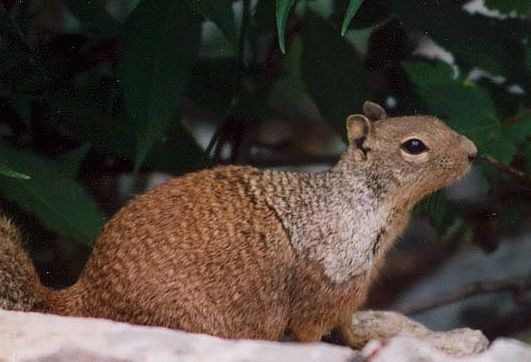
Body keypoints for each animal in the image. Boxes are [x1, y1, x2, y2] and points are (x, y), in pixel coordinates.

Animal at [0, 102, 476, 348]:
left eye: (438, 120)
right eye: (414, 146)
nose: (473, 151)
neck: (368, 205)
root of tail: (82, 299)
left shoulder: (353, 290)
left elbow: (347, 326)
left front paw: (364, 343)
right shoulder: (327, 282)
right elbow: (312, 332)